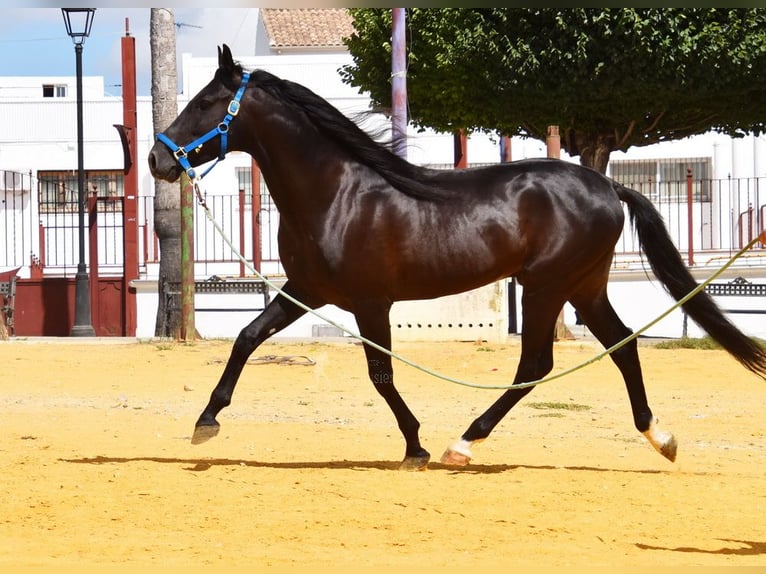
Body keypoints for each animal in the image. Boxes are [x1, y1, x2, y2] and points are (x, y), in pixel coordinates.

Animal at [148, 44, 766, 468]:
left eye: (206, 102)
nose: (157, 158)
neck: (337, 194)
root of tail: (608, 186)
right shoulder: (306, 292)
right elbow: (247, 338)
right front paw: (206, 422)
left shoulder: (369, 303)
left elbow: (380, 375)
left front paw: (416, 446)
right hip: (584, 287)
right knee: (623, 345)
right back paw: (661, 438)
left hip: (547, 287)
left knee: (536, 365)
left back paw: (462, 443)